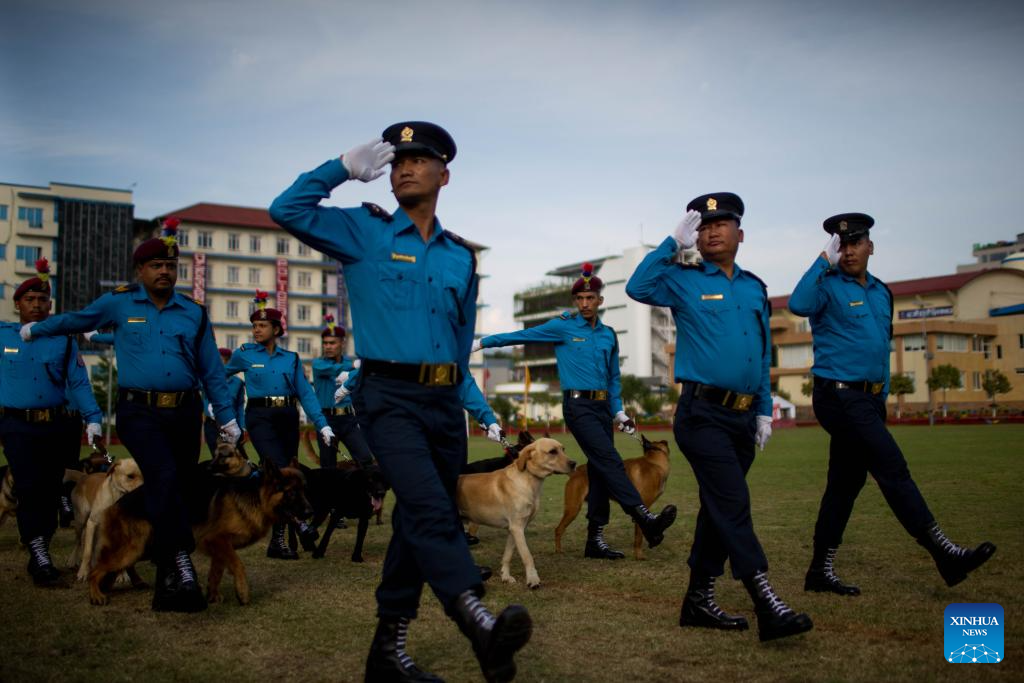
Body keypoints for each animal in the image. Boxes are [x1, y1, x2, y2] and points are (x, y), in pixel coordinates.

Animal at [88, 450, 311, 606]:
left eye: (304, 490)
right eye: (291, 493)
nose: (310, 512)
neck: (256, 497)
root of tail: (116, 504)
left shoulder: (220, 547)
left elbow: (216, 572)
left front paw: (212, 595)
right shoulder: (217, 540)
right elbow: (237, 565)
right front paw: (242, 592)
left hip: (145, 548)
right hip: (133, 549)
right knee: (96, 569)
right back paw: (96, 595)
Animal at [456, 438, 577, 589]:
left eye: (563, 449)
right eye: (552, 451)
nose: (574, 463)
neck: (528, 479)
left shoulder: (515, 528)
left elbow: (507, 555)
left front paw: (505, 576)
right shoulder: (517, 527)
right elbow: (527, 556)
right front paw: (533, 579)